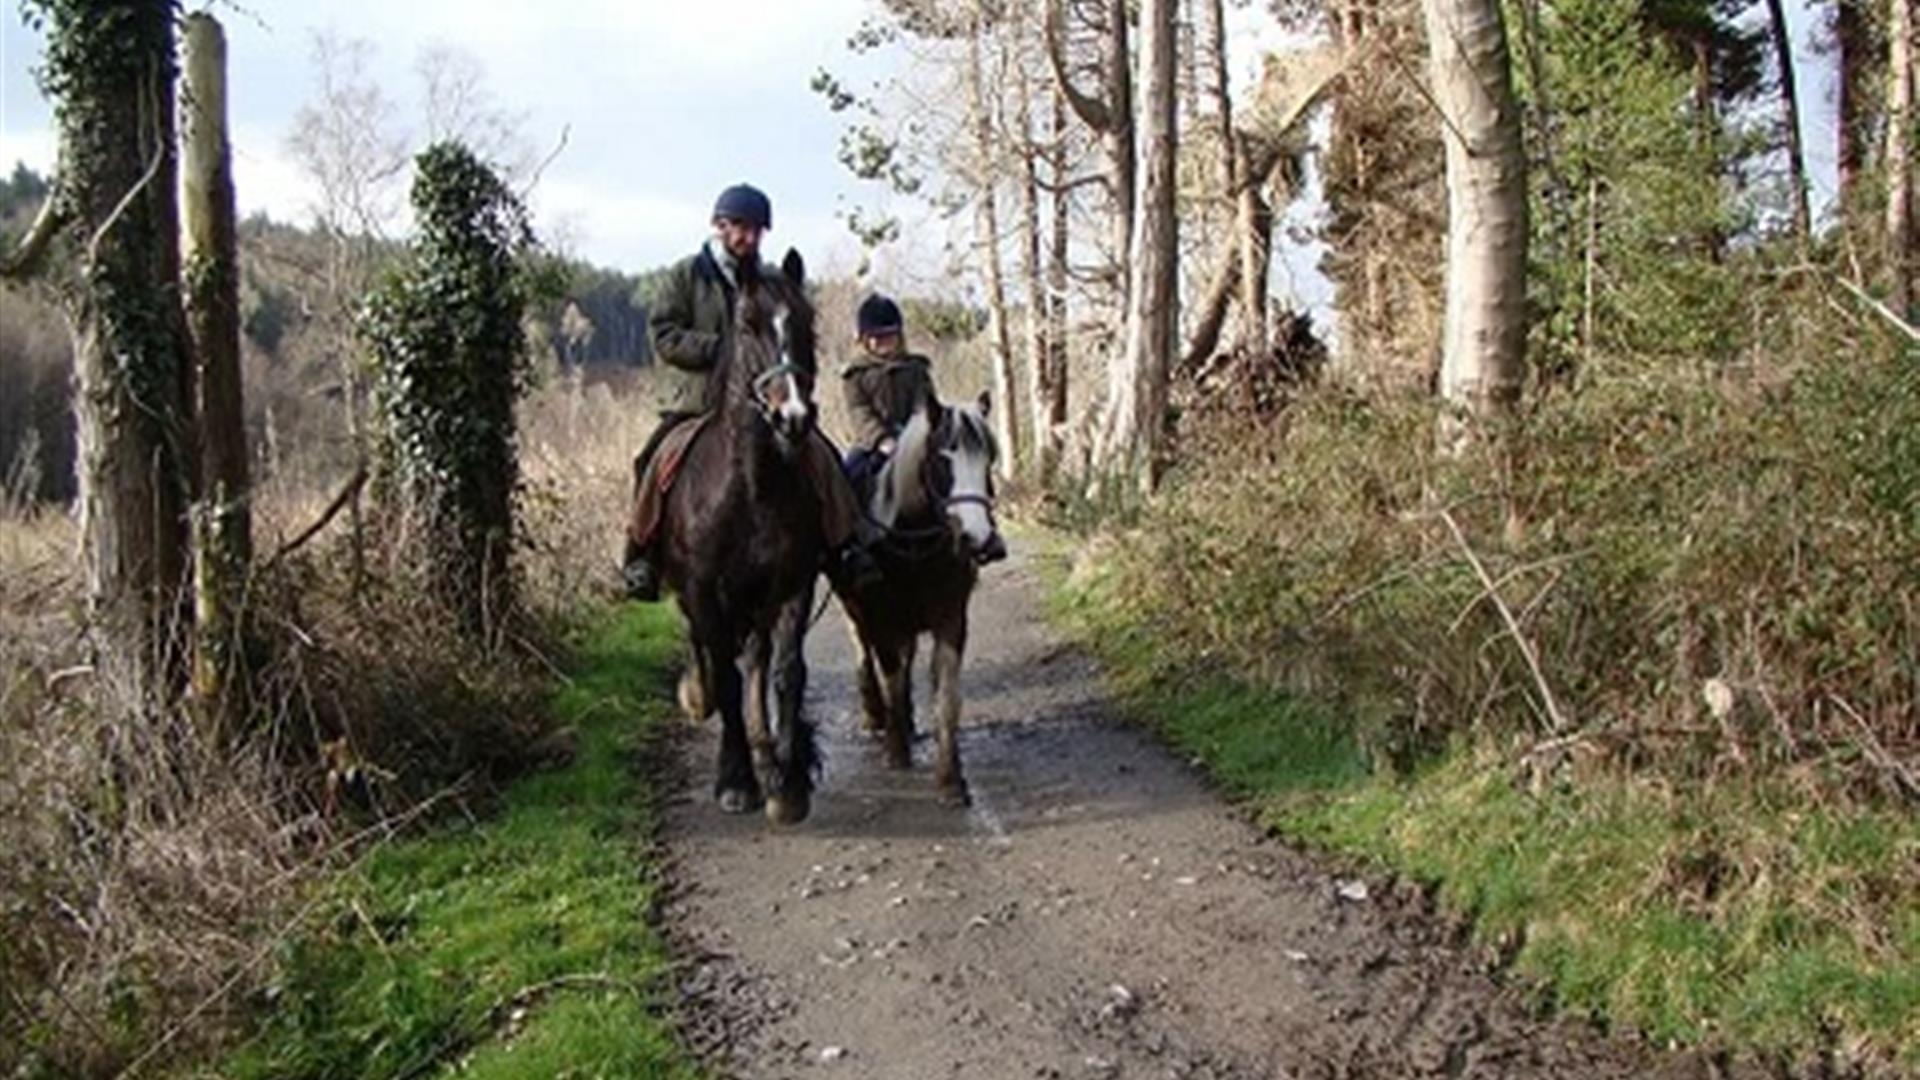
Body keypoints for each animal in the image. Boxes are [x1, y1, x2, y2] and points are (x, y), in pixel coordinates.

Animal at [656, 249, 821, 822]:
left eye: (807, 323)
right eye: (748, 325)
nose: (793, 417)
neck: (750, 485)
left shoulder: (793, 584)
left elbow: (785, 672)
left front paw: (787, 783)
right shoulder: (705, 590)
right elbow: (725, 676)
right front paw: (736, 780)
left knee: (755, 658)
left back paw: (766, 751)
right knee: (711, 654)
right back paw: (698, 695)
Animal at [833, 390, 1006, 803]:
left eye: (988, 459)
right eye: (943, 459)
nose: (981, 540)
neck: (913, 545)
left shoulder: (951, 621)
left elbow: (946, 696)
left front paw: (951, 779)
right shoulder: (883, 620)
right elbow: (892, 678)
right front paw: (896, 752)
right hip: (855, 608)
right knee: (862, 650)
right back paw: (875, 715)